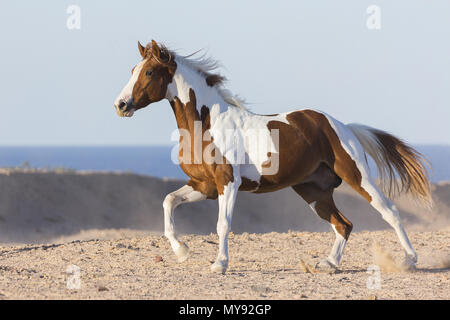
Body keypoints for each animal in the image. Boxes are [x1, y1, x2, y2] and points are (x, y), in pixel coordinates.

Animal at [114, 40, 430, 274]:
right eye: (132, 69)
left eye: (149, 73)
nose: (121, 105)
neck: (206, 124)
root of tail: (342, 126)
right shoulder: (204, 185)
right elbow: (169, 201)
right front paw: (182, 251)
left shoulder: (227, 182)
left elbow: (223, 224)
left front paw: (219, 265)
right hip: (313, 190)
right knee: (343, 224)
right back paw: (329, 264)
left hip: (356, 175)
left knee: (388, 210)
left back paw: (409, 260)